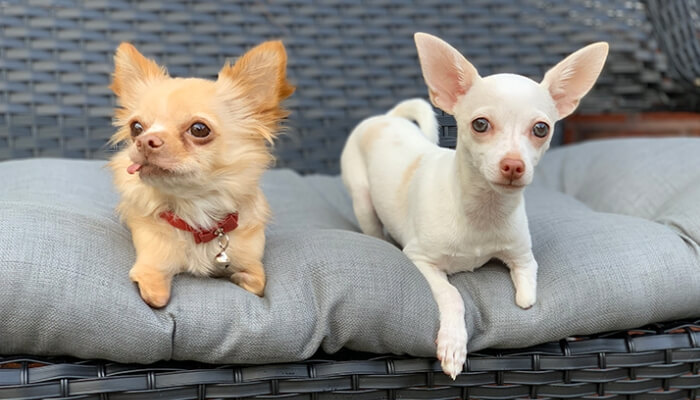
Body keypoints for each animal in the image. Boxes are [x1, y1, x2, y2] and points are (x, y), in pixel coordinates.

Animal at [108, 40, 294, 308]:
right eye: (136, 128)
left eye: (199, 129)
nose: (144, 141)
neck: (196, 209)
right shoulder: (151, 266)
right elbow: (156, 296)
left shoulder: (252, 262)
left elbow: (256, 282)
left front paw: (237, 277)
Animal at [340, 33, 608, 378]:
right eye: (480, 124)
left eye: (541, 129)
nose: (513, 165)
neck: (483, 209)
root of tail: (387, 118)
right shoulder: (420, 260)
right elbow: (453, 295)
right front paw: (453, 344)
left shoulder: (523, 256)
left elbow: (528, 291)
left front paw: (526, 298)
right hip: (362, 199)